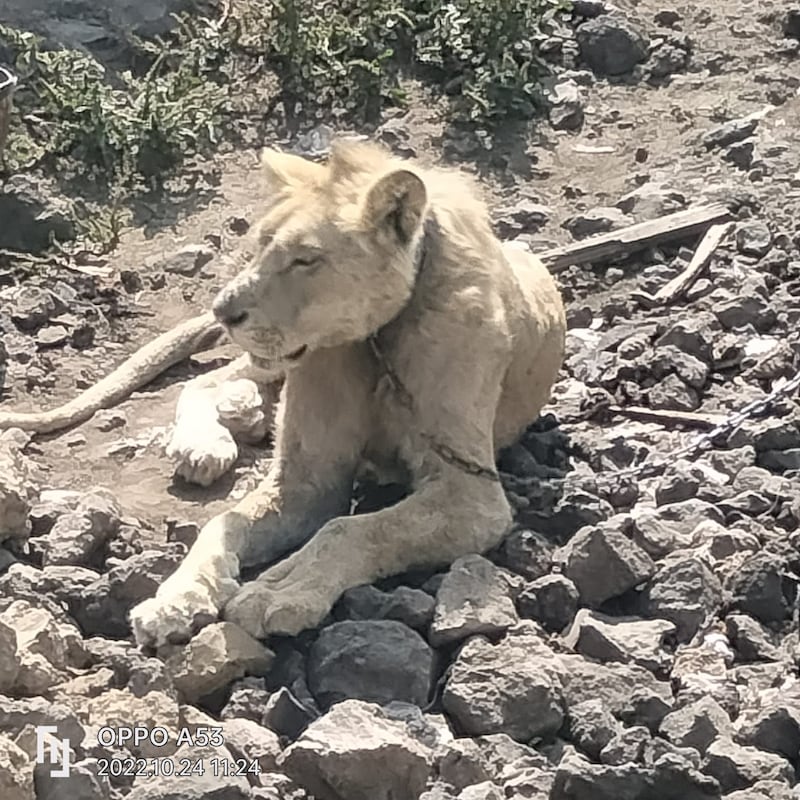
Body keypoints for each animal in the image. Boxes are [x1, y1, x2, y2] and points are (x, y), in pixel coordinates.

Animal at [0, 139, 564, 648]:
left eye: (304, 260)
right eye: (259, 245)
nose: (222, 311)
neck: (373, 338)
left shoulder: (472, 496)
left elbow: (350, 529)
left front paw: (279, 591)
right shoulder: (305, 481)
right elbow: (223, 522)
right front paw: (176, 598)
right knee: (203, 380)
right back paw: (208, 441)